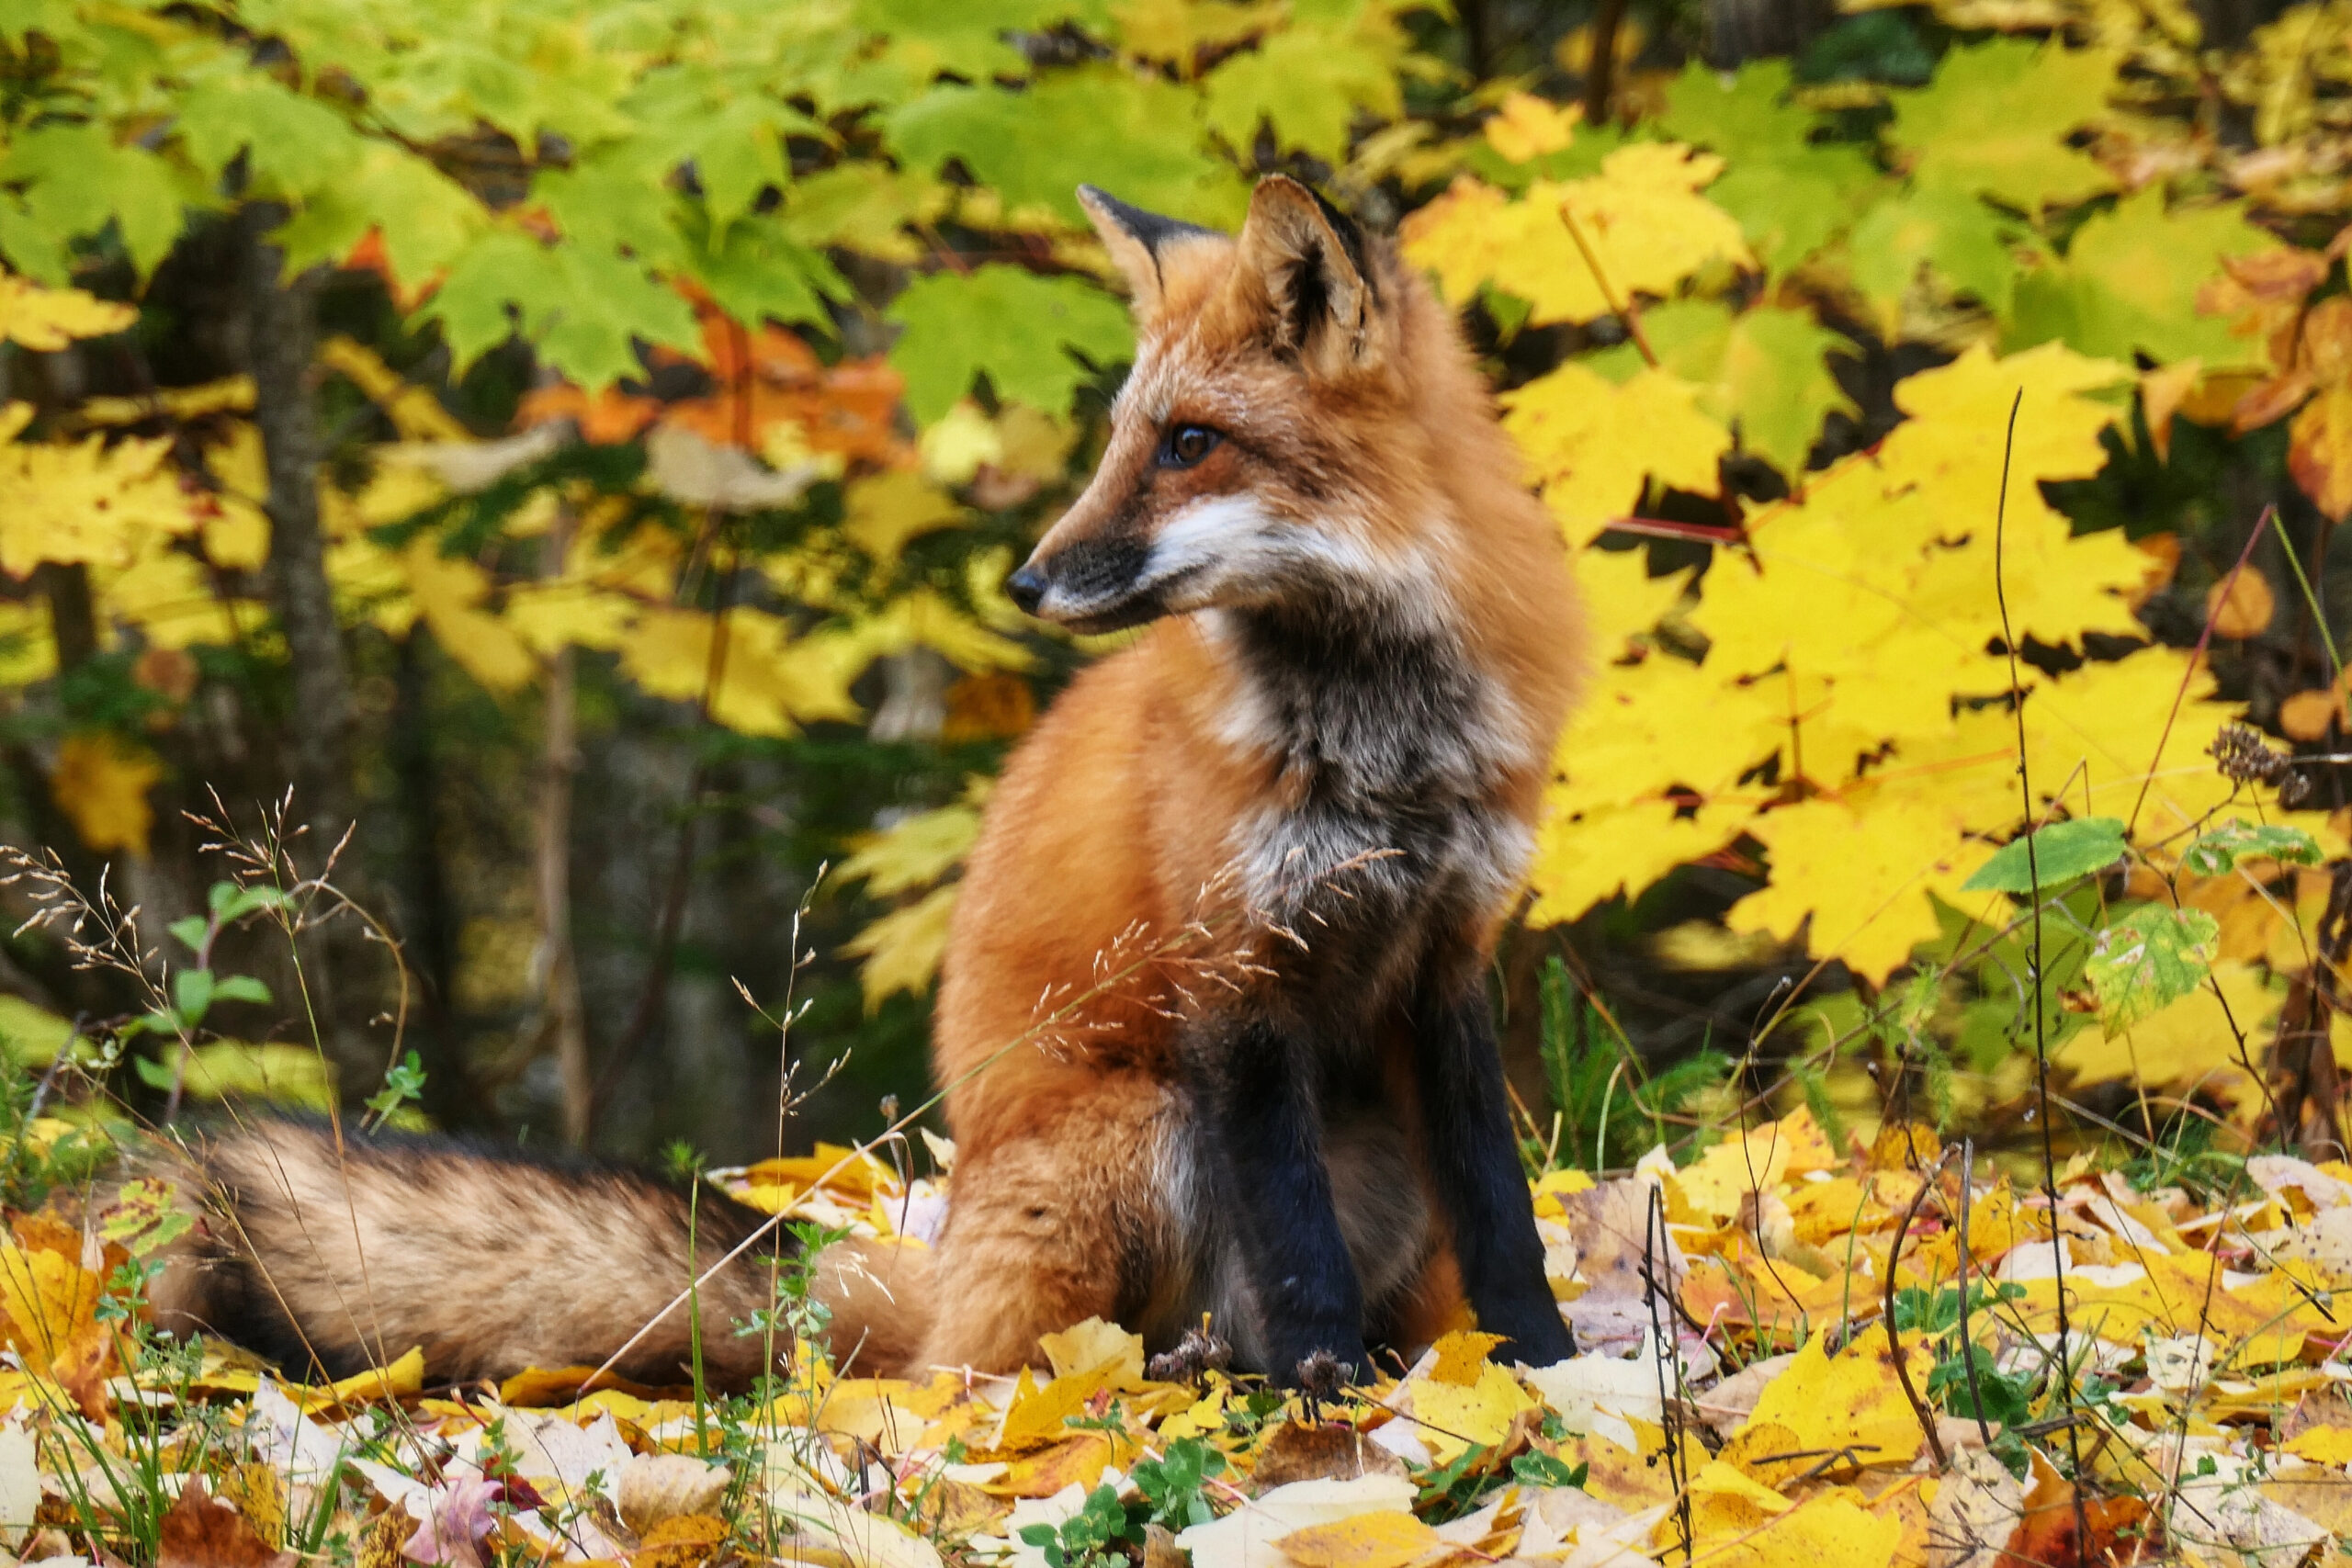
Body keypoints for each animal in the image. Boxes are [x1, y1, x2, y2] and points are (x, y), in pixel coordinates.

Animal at [152, 177, 1580, 1392]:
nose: (1024, 582)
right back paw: (1187, 1377)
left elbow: (1502, 1209)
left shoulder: (1450, 957)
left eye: (1191, 442)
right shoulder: (1236, 968)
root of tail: (937, 1278)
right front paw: (1323, 1382)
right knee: (1005, 1369)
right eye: (1124, 439)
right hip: (1142, 1133)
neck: (1380, 745)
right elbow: (1290, 1236)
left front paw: (1544, 1366)